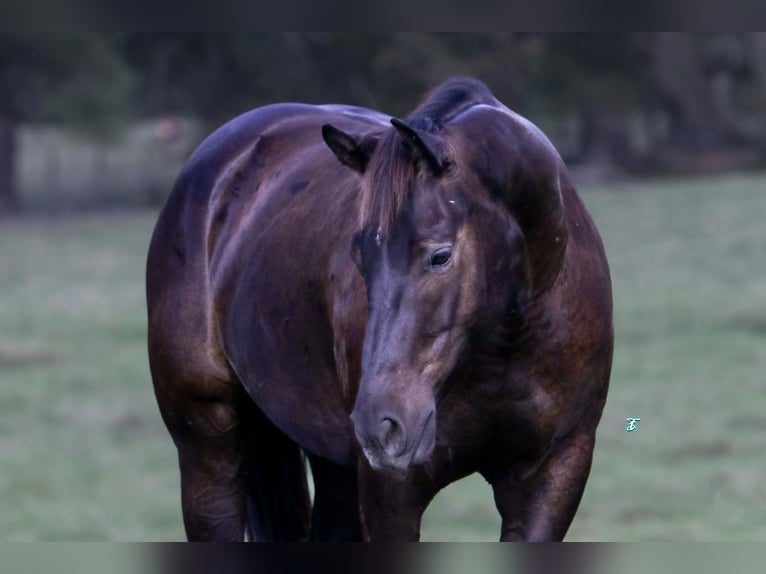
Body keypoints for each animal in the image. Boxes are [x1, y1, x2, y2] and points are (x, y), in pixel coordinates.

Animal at [147, 77, 616, 544]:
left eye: (440, 256)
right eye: (359, 255)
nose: (380, 426)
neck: (506, 343)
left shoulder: (554, 471)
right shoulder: (390, 490)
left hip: (334, 472)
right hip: (210, 455)